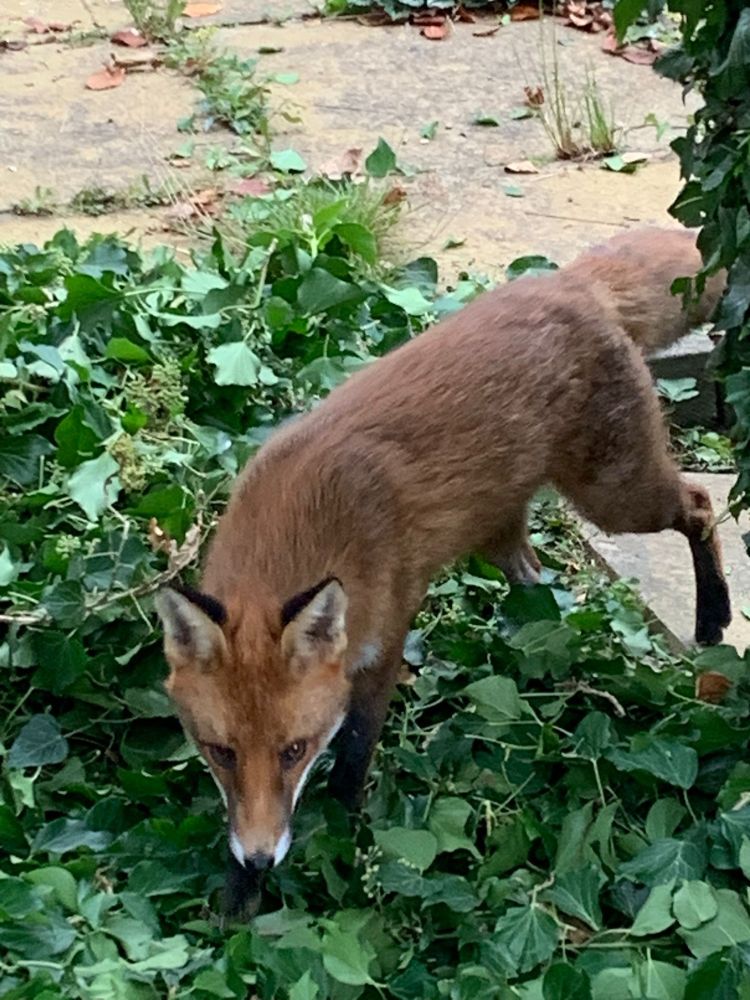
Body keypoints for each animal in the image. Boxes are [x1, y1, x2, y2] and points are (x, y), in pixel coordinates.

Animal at [156, 227, 729, 914]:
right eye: (220, 752)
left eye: (294, 750)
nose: (262, 858)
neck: (304, 526)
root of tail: (566, 281)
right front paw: (238, 901)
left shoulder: (383, 639)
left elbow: (354, 755)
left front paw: (346, 840)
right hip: (503, 531)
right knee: (538, 581)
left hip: (616, 497)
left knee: (700, 504)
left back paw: (714, 617)